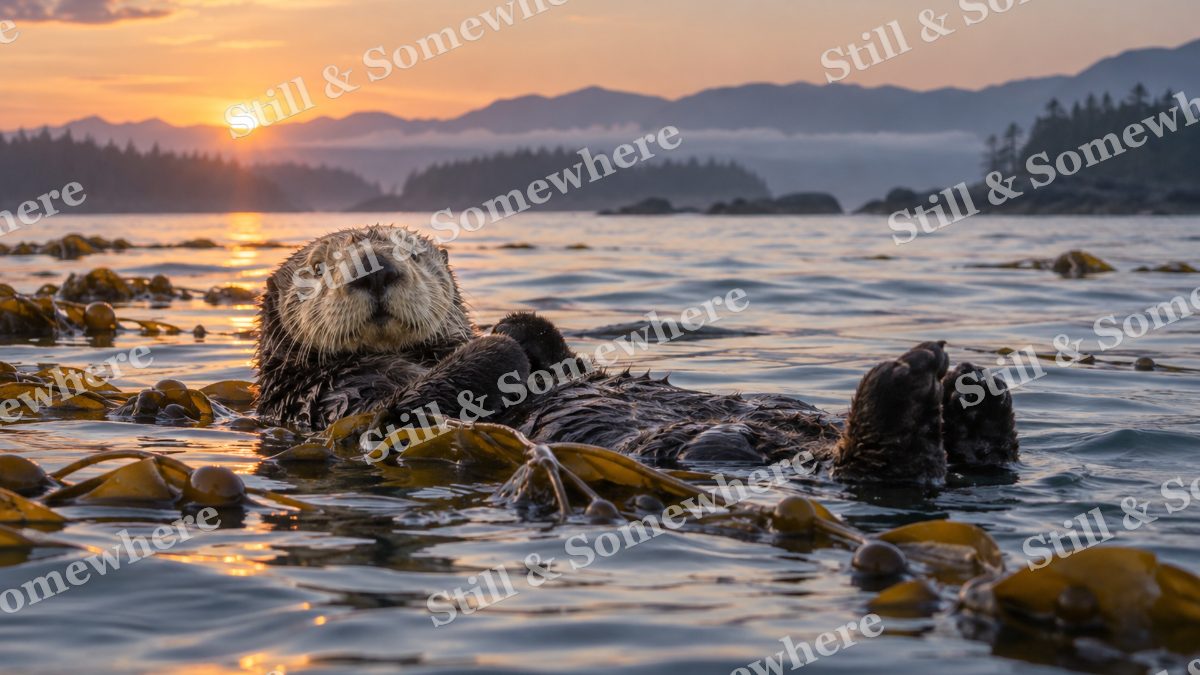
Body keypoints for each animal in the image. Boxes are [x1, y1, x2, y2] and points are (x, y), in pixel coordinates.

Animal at [255, 226, 1019, 484]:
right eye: (317, 267)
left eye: (412, 253)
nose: (374, 266)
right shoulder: (336, 405)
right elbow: (406, 408)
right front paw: (498, 341)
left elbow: (543, 347)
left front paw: (520, 326)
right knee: (884, 462)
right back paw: (915, 378)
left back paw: (973, 390)